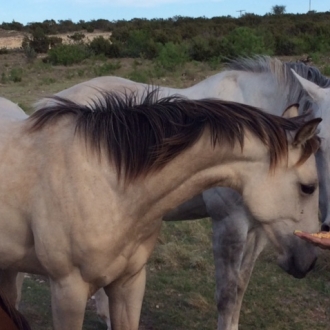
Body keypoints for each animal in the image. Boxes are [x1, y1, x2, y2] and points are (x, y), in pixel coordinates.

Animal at [34, 55, 330, 328]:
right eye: (321, 142)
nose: (305, 263)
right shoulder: (229, 224)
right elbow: (227, 294)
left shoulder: (260, 228)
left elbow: (240, 287)